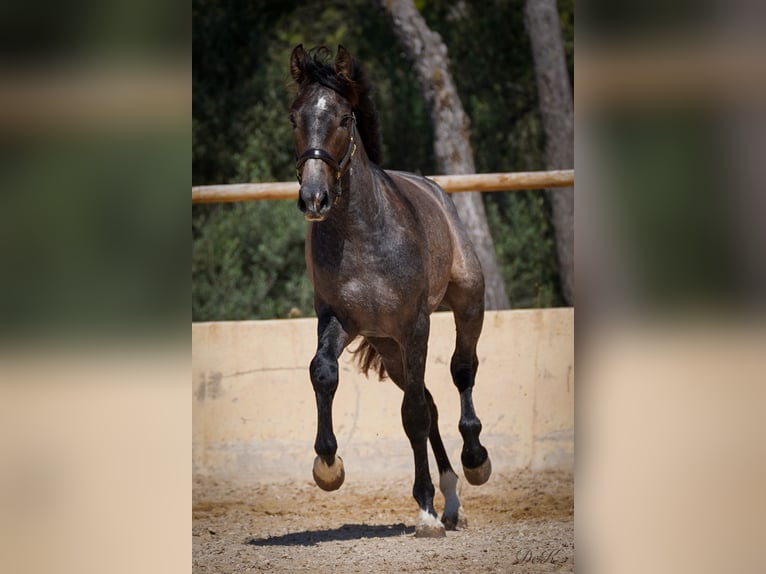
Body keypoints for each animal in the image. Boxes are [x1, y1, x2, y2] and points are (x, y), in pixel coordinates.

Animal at [289, 45, 491, 538]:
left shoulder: (415, 325)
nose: (314, 198)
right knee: (429, 399)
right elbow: (323, 372)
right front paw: (328, 466)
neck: (363, 235)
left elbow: (414, 414)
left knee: (460, 372)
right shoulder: (337, 319)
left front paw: (424, 511)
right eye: (294, 117)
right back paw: (451, 500)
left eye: (344, 118)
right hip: (389, 347)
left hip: (466, 305)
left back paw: (473, 463)